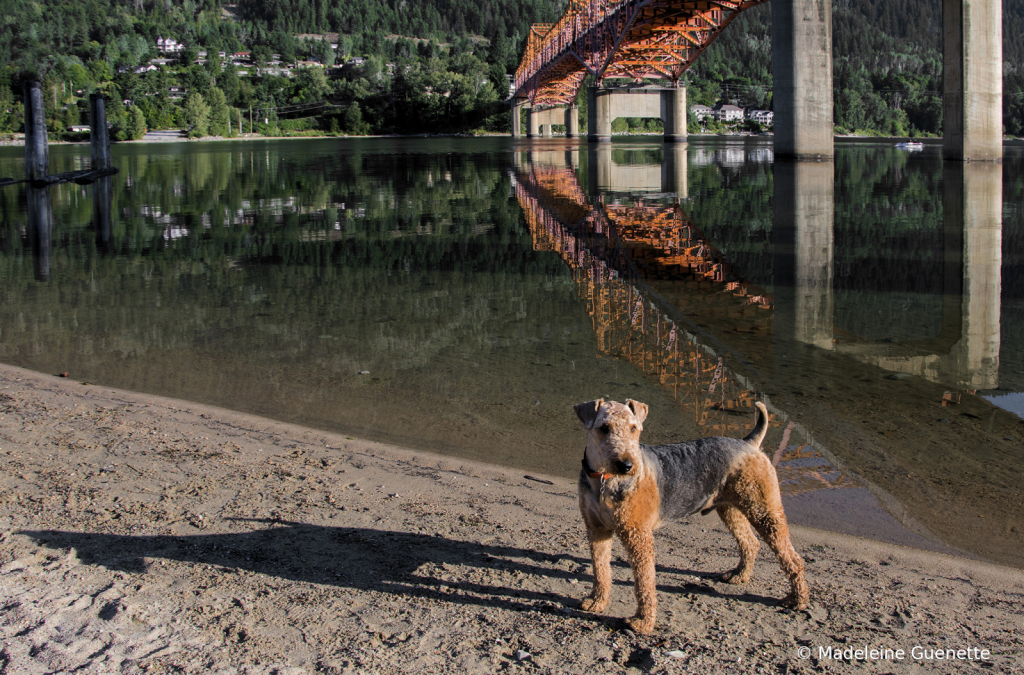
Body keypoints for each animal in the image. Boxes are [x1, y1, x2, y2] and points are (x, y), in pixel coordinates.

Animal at [577, 395, 806, 635]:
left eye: (633, 428)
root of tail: (748, 443)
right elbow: (601, 569)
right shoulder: (597, 530)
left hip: (763, 511)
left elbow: (644, 582)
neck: (604, 481)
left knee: (793, 559)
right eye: (604, 428)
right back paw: (739, 576)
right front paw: (597, 601)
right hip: (730, 510)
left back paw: (797, 599)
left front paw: (643, 621)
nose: (627, 465)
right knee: (751, 543)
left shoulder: (638, 536)